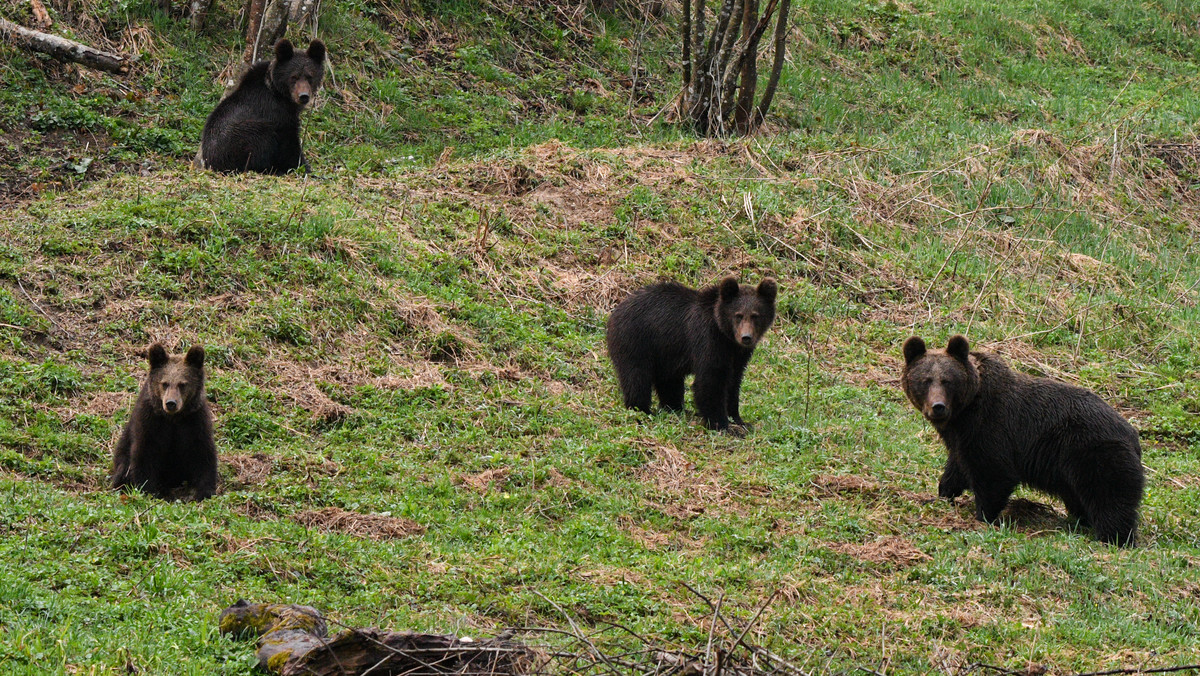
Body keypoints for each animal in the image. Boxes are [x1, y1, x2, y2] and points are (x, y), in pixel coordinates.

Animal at [110, 345, 218, 499]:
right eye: (164, 383)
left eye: (182, 384)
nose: (171, 403)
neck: (173, 418)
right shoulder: (151, 421)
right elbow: (145, 453)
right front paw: (148, 489)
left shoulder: (194, 421)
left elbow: (203, 452)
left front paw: (204, 491)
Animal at [198, 38, 326, 174]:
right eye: (294, 77)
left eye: (309, 76)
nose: (303, 96)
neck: (280, 94)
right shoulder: (276, 111)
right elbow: (288, 141)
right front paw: (303, 167)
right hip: (241, 139)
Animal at [609, 277, 777, 437]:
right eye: (738, 315)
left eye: (755, 315)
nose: (746, 337)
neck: (725, 336)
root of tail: (615, 311)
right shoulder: (708, 340)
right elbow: (710, 381)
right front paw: (722, 425)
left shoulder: (737, 356)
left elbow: (733, 382)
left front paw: (739, 420)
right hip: (636, 341)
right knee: (636, 378)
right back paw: (642, 410)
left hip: (665, 352)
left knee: (669, 382)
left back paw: (675, 408)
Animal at [902, 336, 1142, 547]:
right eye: (925, 380)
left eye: (948, 381)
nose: (938, 407)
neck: (965, 413)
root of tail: (1131, 432)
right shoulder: (963, 439)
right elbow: (957, 467)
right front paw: (940, 496)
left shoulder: (992, 430)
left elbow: (993, 475)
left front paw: (983, 517)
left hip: (1095, 454)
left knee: (1110, 500)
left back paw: (1113, 538)